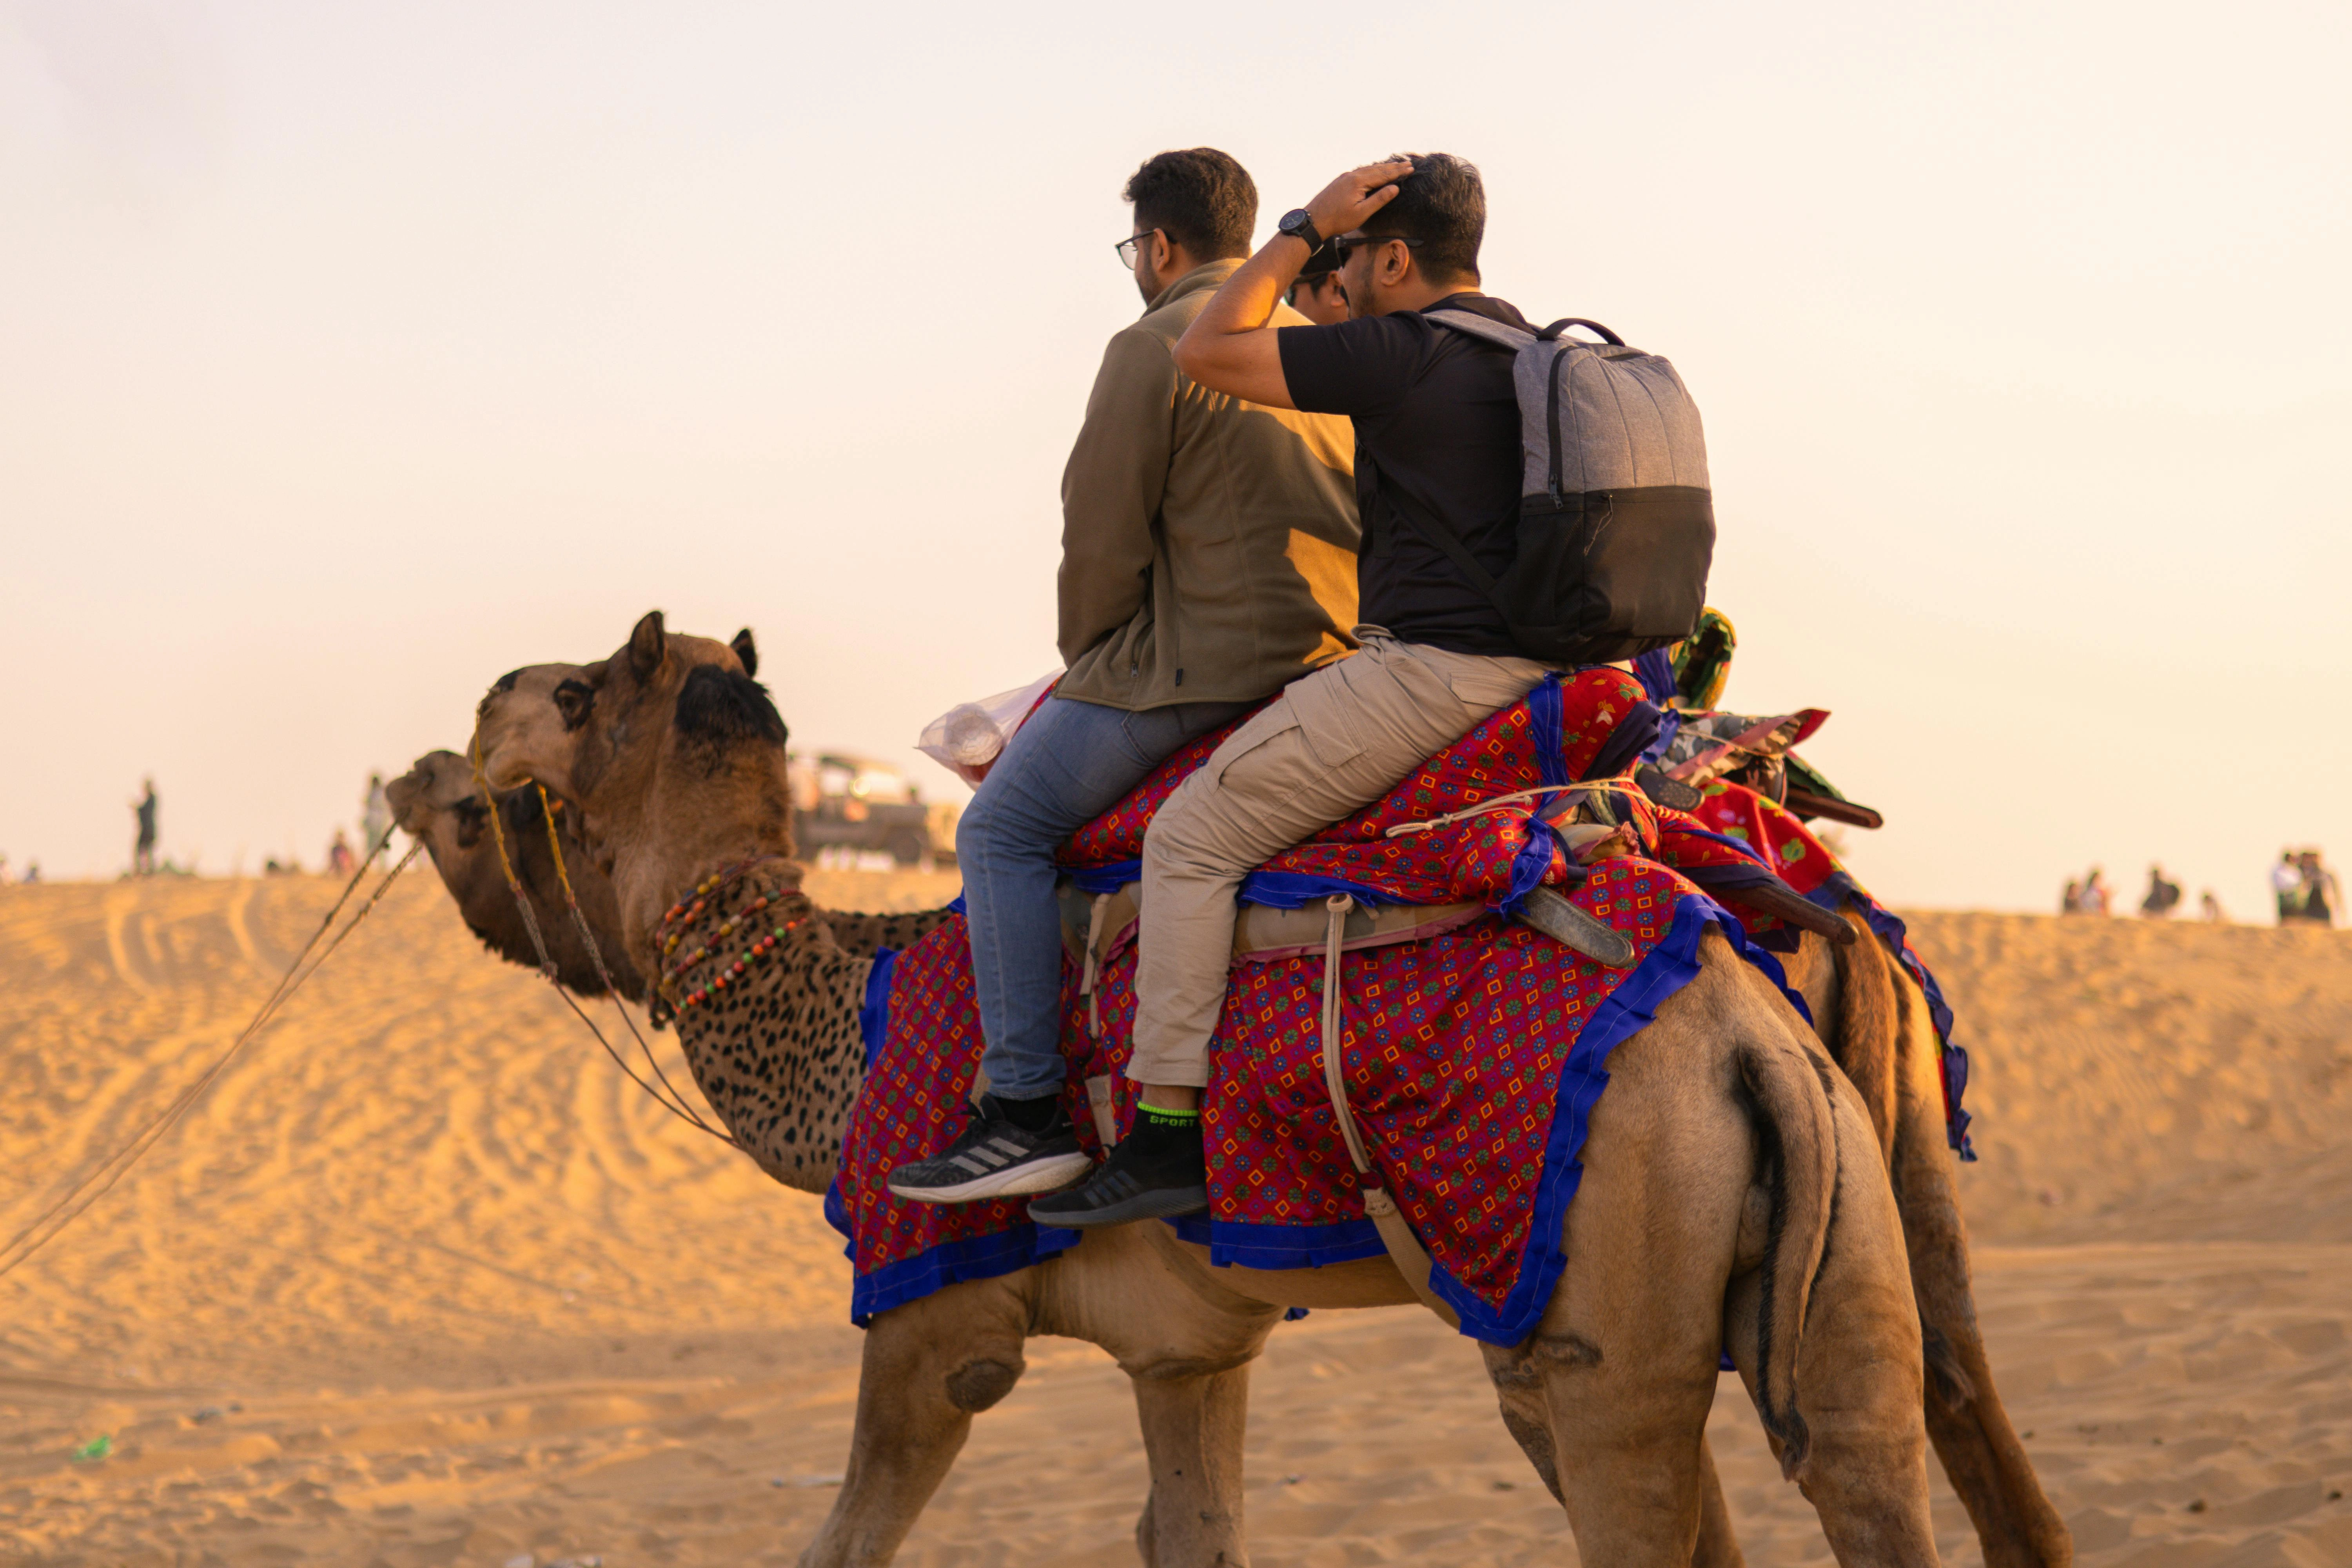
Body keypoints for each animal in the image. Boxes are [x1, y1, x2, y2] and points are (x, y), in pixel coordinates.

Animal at [466, 610, 1940, 1567]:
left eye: (583, 692)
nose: (486, 703)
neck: (853, 1025)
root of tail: (1749, 1040)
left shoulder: (934, 1319)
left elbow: (844, 1538)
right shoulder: (1187, 1349)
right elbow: (1194, 1528)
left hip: (1602, 1306)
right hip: (1832, 1244)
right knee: (1868, 1457)